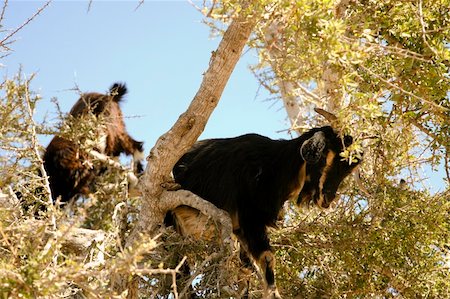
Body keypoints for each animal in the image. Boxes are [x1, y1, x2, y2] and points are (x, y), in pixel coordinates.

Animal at [169, 123, 362, 298]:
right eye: (323, 159)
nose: (327, 199)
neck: (273, 168)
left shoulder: (240, 228)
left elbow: (246, 269)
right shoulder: (249, 217)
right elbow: (267, 257)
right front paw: (272, 292)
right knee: (180, 271)